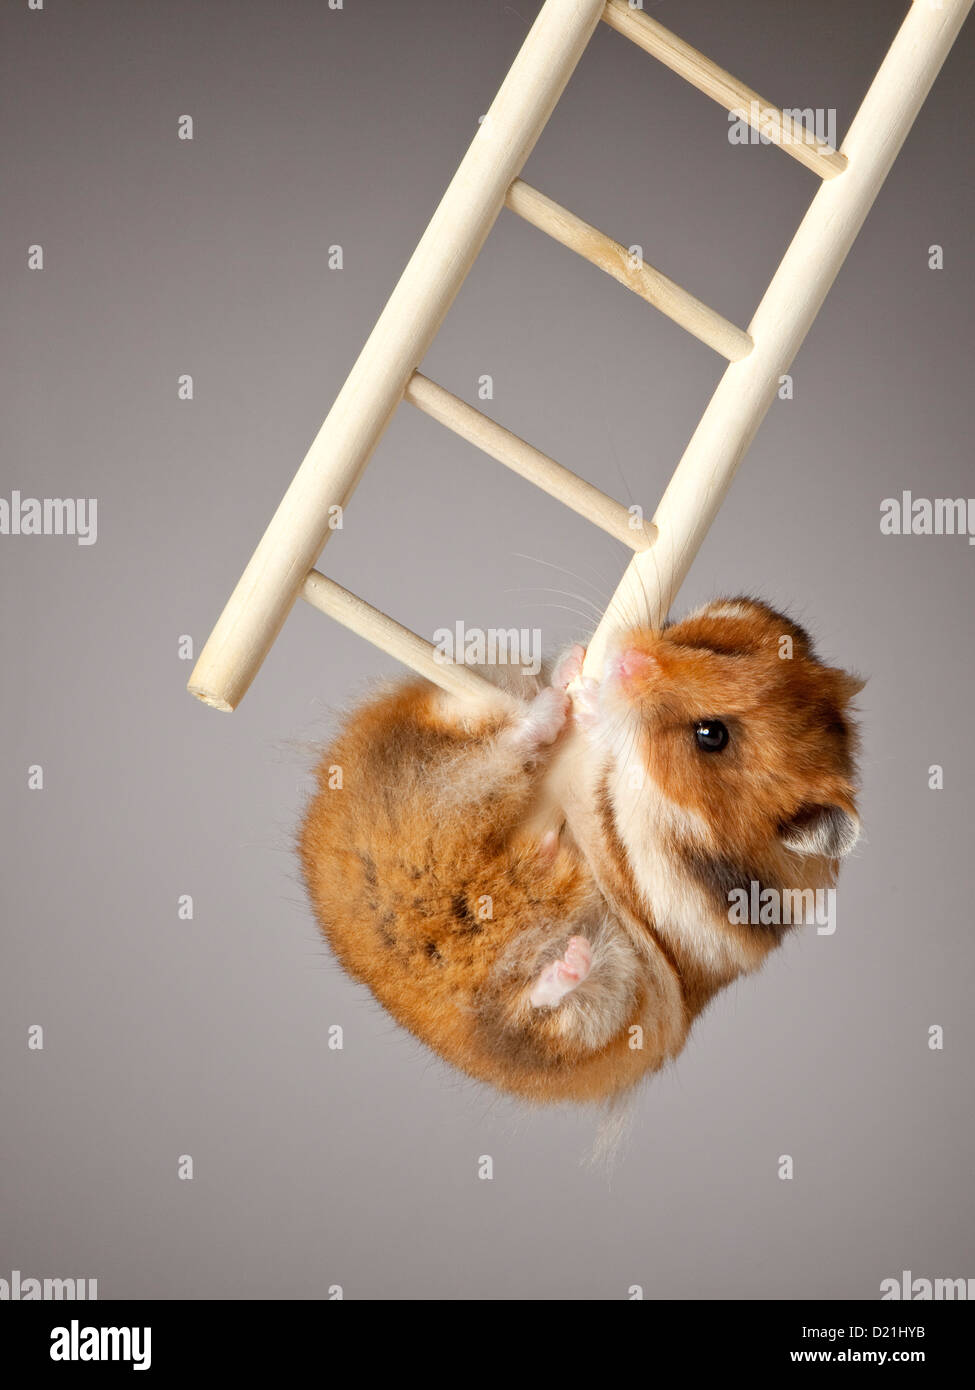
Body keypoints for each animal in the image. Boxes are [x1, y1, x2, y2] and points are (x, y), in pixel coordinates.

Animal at [298, 597, 863, 1105]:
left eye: (712, 735)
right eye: (710, 642)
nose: (628, 659)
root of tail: (439, 1002)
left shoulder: (645, 872)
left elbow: (610, 806)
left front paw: (593, 705)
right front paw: (579, 663)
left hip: (612, 999)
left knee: (545, 1005)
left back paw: (569, 962)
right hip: (426, 753)